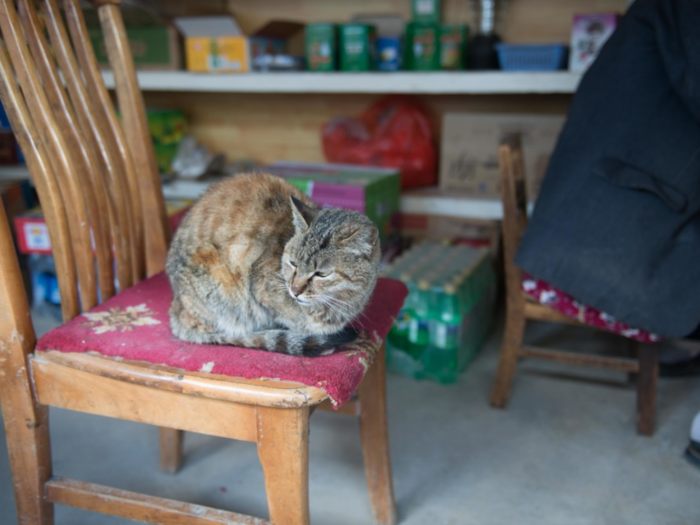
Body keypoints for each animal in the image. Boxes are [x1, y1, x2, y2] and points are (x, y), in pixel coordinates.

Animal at [165, 172, 382, 356]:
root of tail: (176, 308)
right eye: (293, 263)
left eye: (322, 274)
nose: (295, 290)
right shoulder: (262, 295)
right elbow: (289, 322)